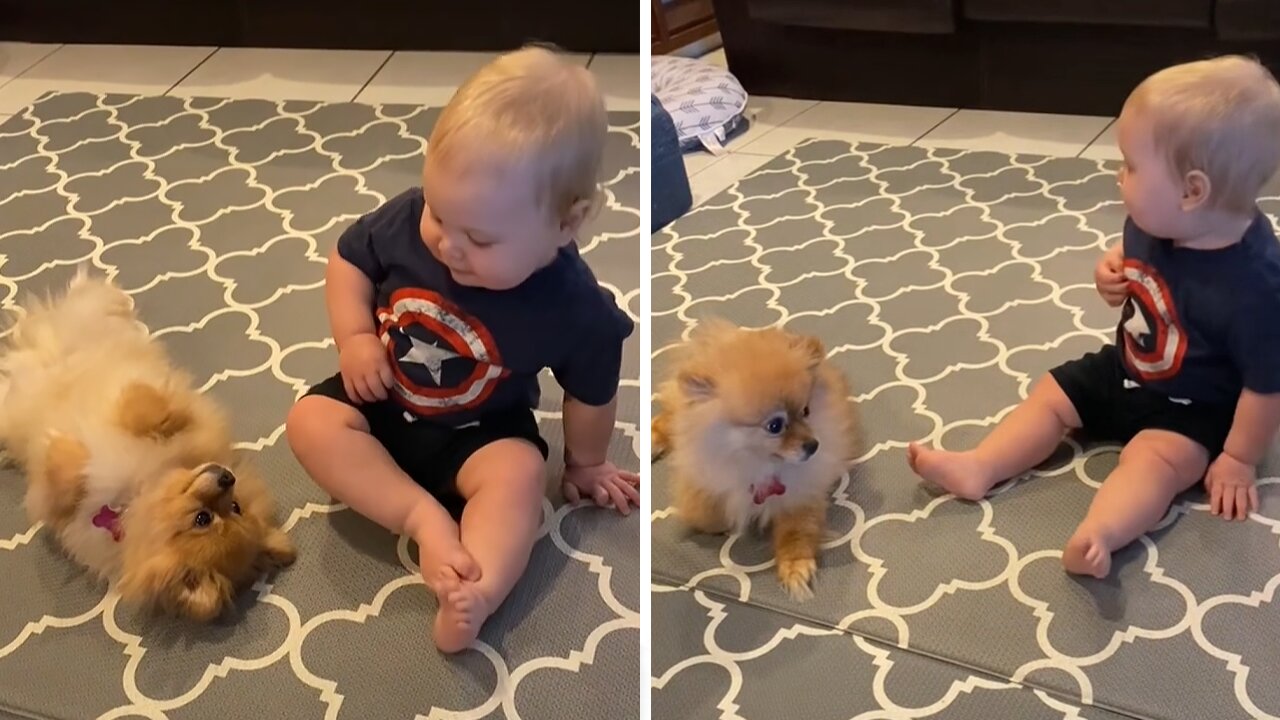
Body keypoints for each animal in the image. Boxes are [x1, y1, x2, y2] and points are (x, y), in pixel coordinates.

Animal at [0, 271, 294, 620]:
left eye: (222, 512)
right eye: (208, 516)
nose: (227, 477)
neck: (138, 491)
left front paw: (59, 447)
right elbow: (146, 411)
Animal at [655, 317, 855, 594]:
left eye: (806, 411)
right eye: (775, 426)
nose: (813, 445)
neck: (759, 463)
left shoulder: (802, 494)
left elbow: (797, 533)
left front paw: (796, 567)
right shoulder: (703, 484)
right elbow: (706, 516)